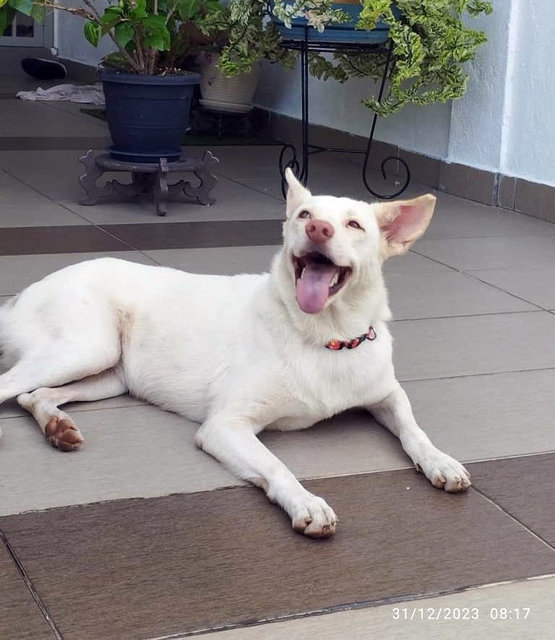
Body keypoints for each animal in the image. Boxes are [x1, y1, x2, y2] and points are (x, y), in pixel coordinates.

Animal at [0, 169, 470, 536]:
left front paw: (440, 461)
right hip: (85, 348)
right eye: (304, 215)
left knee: (33, 395)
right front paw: (306, 502)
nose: (317, 229)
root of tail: (22, 294)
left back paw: (57, 426)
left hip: (108, 374)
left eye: (354, 225)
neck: (324, 336)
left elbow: (414, 430)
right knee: (11, 384)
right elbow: (276, 465)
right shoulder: (225, 426)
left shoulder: (387, 394)